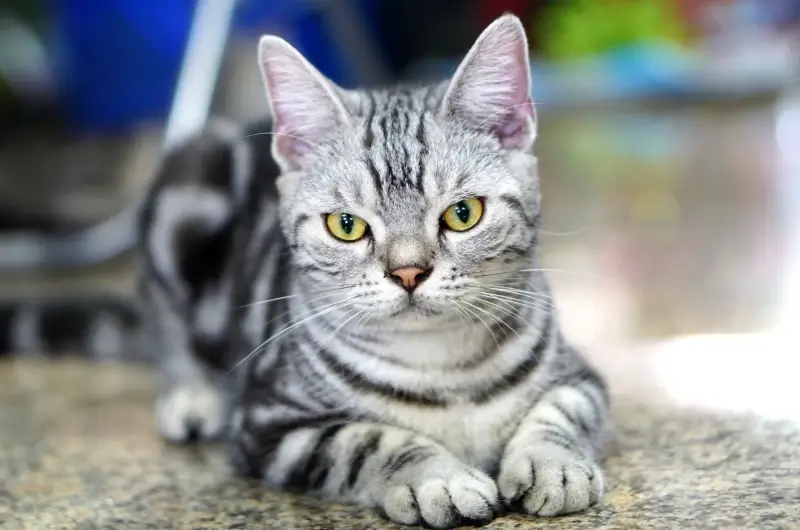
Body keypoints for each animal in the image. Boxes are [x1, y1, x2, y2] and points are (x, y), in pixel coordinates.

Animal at [1, 14, 612, 524]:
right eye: (347, 226)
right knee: (163, 318)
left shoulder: (582, 377)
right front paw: (436, 478)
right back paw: (191, 393)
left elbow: (561, 410)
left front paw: (551, 463)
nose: (409, 273)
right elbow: (367, 440)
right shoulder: (272, 421)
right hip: (188, 180)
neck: (442, 371)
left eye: (463, 214)